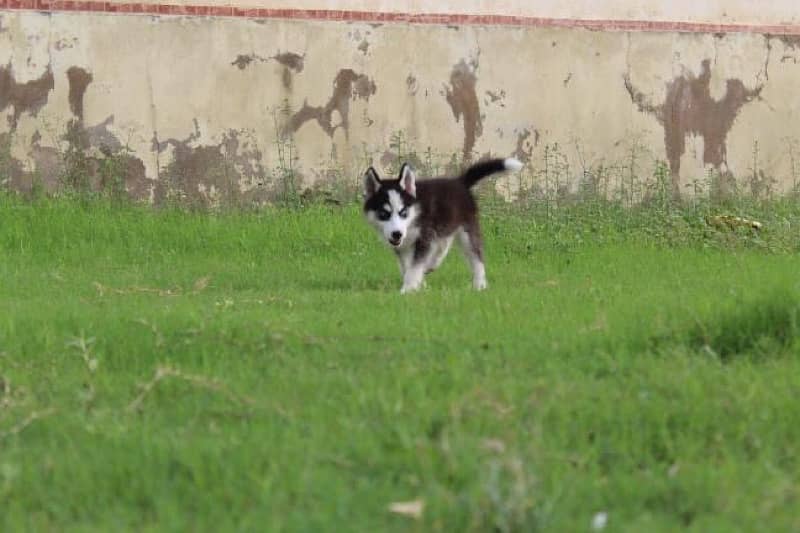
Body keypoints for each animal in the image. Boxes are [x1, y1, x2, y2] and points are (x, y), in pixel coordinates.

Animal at [364, 156, 524, 294]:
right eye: (383, 214)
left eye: (403, 212)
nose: (397, 234)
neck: (414, 216)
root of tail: (460, 182)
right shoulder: (402, 246)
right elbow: (407, 266)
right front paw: (418, 284)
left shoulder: (424, 238)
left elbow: (414, 267)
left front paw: (408, 289)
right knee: (443, 244)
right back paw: (432, 264)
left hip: (466, 231)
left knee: (476, 256)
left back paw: (480, 285)